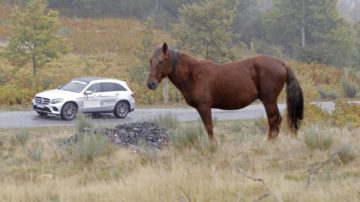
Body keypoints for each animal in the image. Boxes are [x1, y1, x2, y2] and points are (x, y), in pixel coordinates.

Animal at [146, 42, 304, 140]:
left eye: (162, 60)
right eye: (150, 61)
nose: (150, 84)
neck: (193, 74)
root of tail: (282, 64)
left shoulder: (204, 107)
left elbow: (209, 128)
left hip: (269, 100)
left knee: (274, 120)